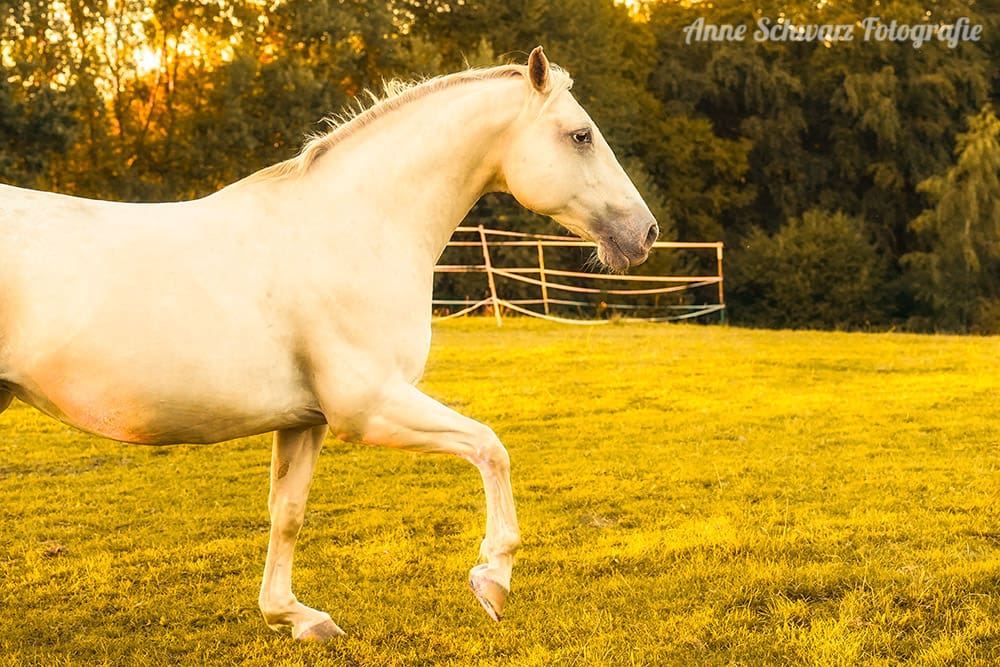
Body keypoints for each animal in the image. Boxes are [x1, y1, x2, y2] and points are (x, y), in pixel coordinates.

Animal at [0, 47, 658, 640]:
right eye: (580, 136)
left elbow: (287, 513)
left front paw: (293, 616)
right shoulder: (367, 407)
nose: (645, 233)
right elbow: (490, 448)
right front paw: (493, 579)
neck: (352, 230)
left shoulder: (305, 420)